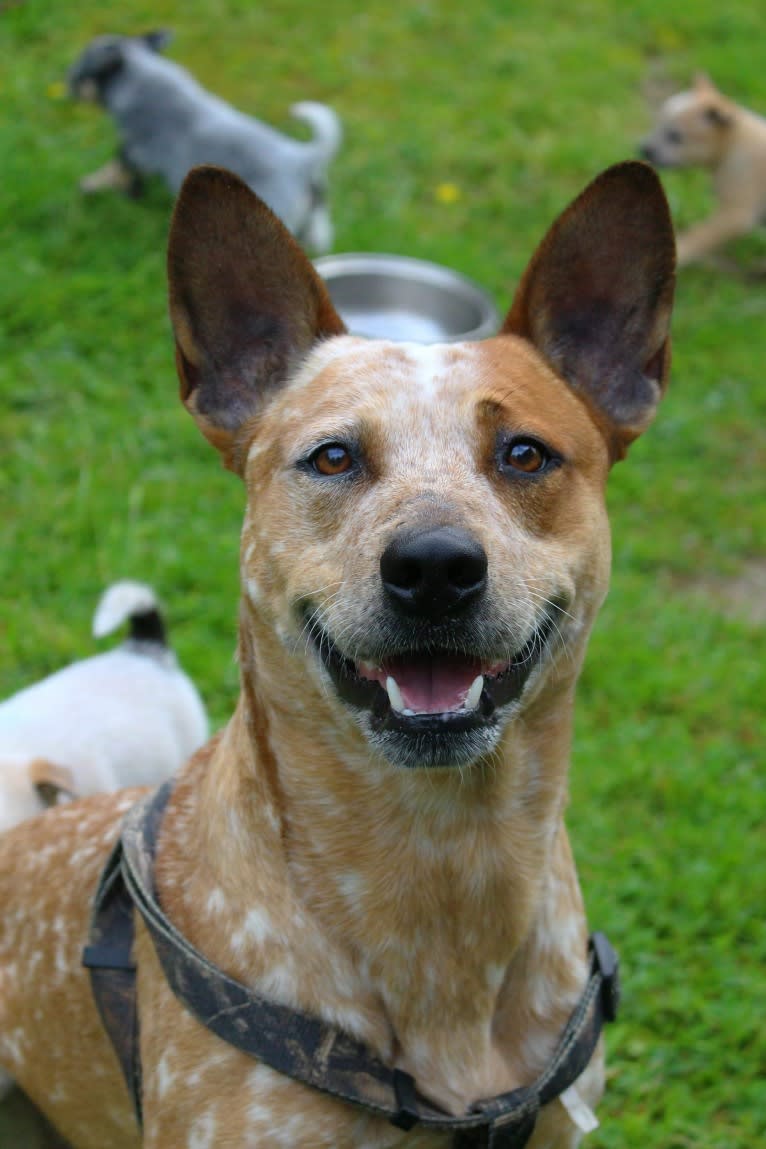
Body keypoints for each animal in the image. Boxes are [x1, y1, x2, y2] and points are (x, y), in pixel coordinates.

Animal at [68, 31, 344, 253]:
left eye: (79, 72)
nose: (66, 82)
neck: (142, 73)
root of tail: (303, 160)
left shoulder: (135, 152)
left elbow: (118, 171)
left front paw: (93, 187)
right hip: (315, 226)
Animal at [643, 72, 766, 265]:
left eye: (675, 136)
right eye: (656, 123)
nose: (644, 148)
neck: (733, 143)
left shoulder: (734, 215)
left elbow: (698, 236)